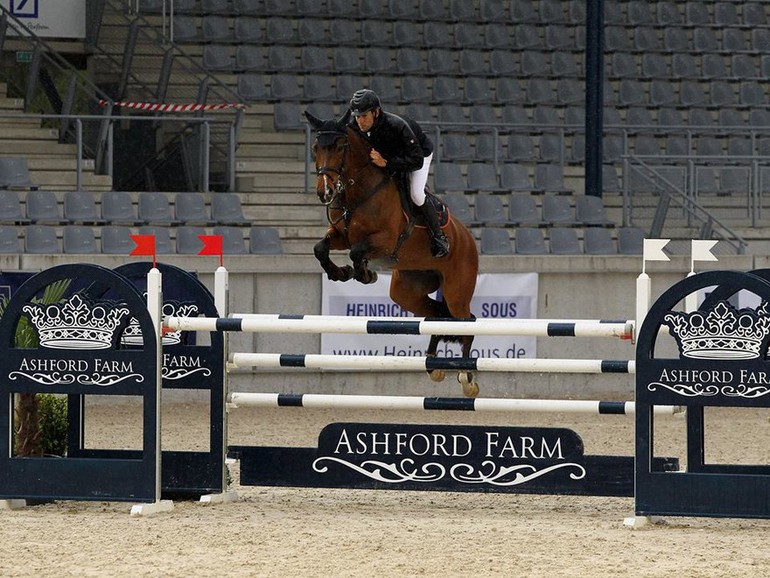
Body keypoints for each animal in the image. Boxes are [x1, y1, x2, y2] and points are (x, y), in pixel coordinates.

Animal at [304, 109, 476, 396]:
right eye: (316, 147)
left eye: (340, 146)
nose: (324, 192)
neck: (358, 189)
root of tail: (468, 238)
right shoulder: (340, 235)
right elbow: (320, 249)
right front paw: (341, 273)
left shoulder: (384, 240)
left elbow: (357, 252)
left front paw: (364, 274)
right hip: (407, 290)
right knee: (437, 315)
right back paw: (433, 366)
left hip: (457, 292)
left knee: (467, 320)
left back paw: (467, 376)